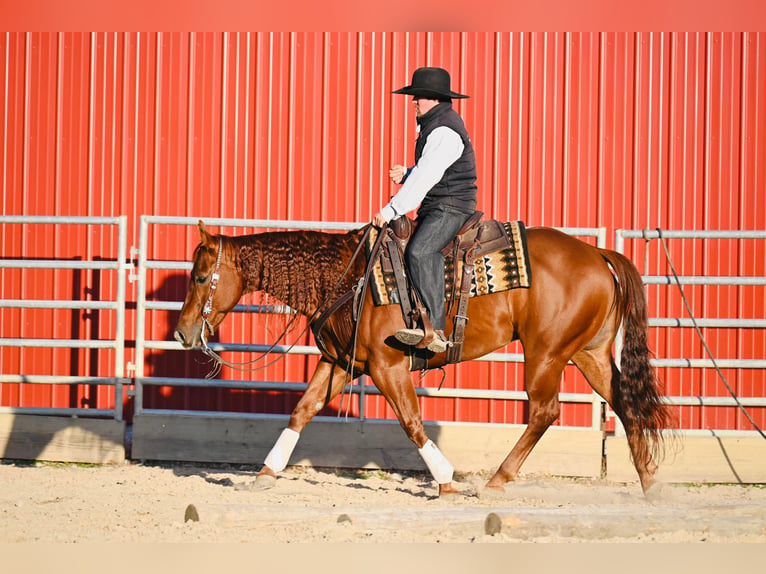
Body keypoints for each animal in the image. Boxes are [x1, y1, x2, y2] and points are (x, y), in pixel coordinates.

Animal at [174, 220, 672, 500]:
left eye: (200, 275)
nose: (182, 332)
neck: (346, 277)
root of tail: (598, 254)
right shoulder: (340, 363)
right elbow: (302, 411)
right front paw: (264, 472)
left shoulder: (387, 367)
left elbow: (411, 422)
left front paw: (447, 481)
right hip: (589, 354)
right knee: (626, 405)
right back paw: (650, 485)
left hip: (546, 354)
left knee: (545, 411)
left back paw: (496, 480)